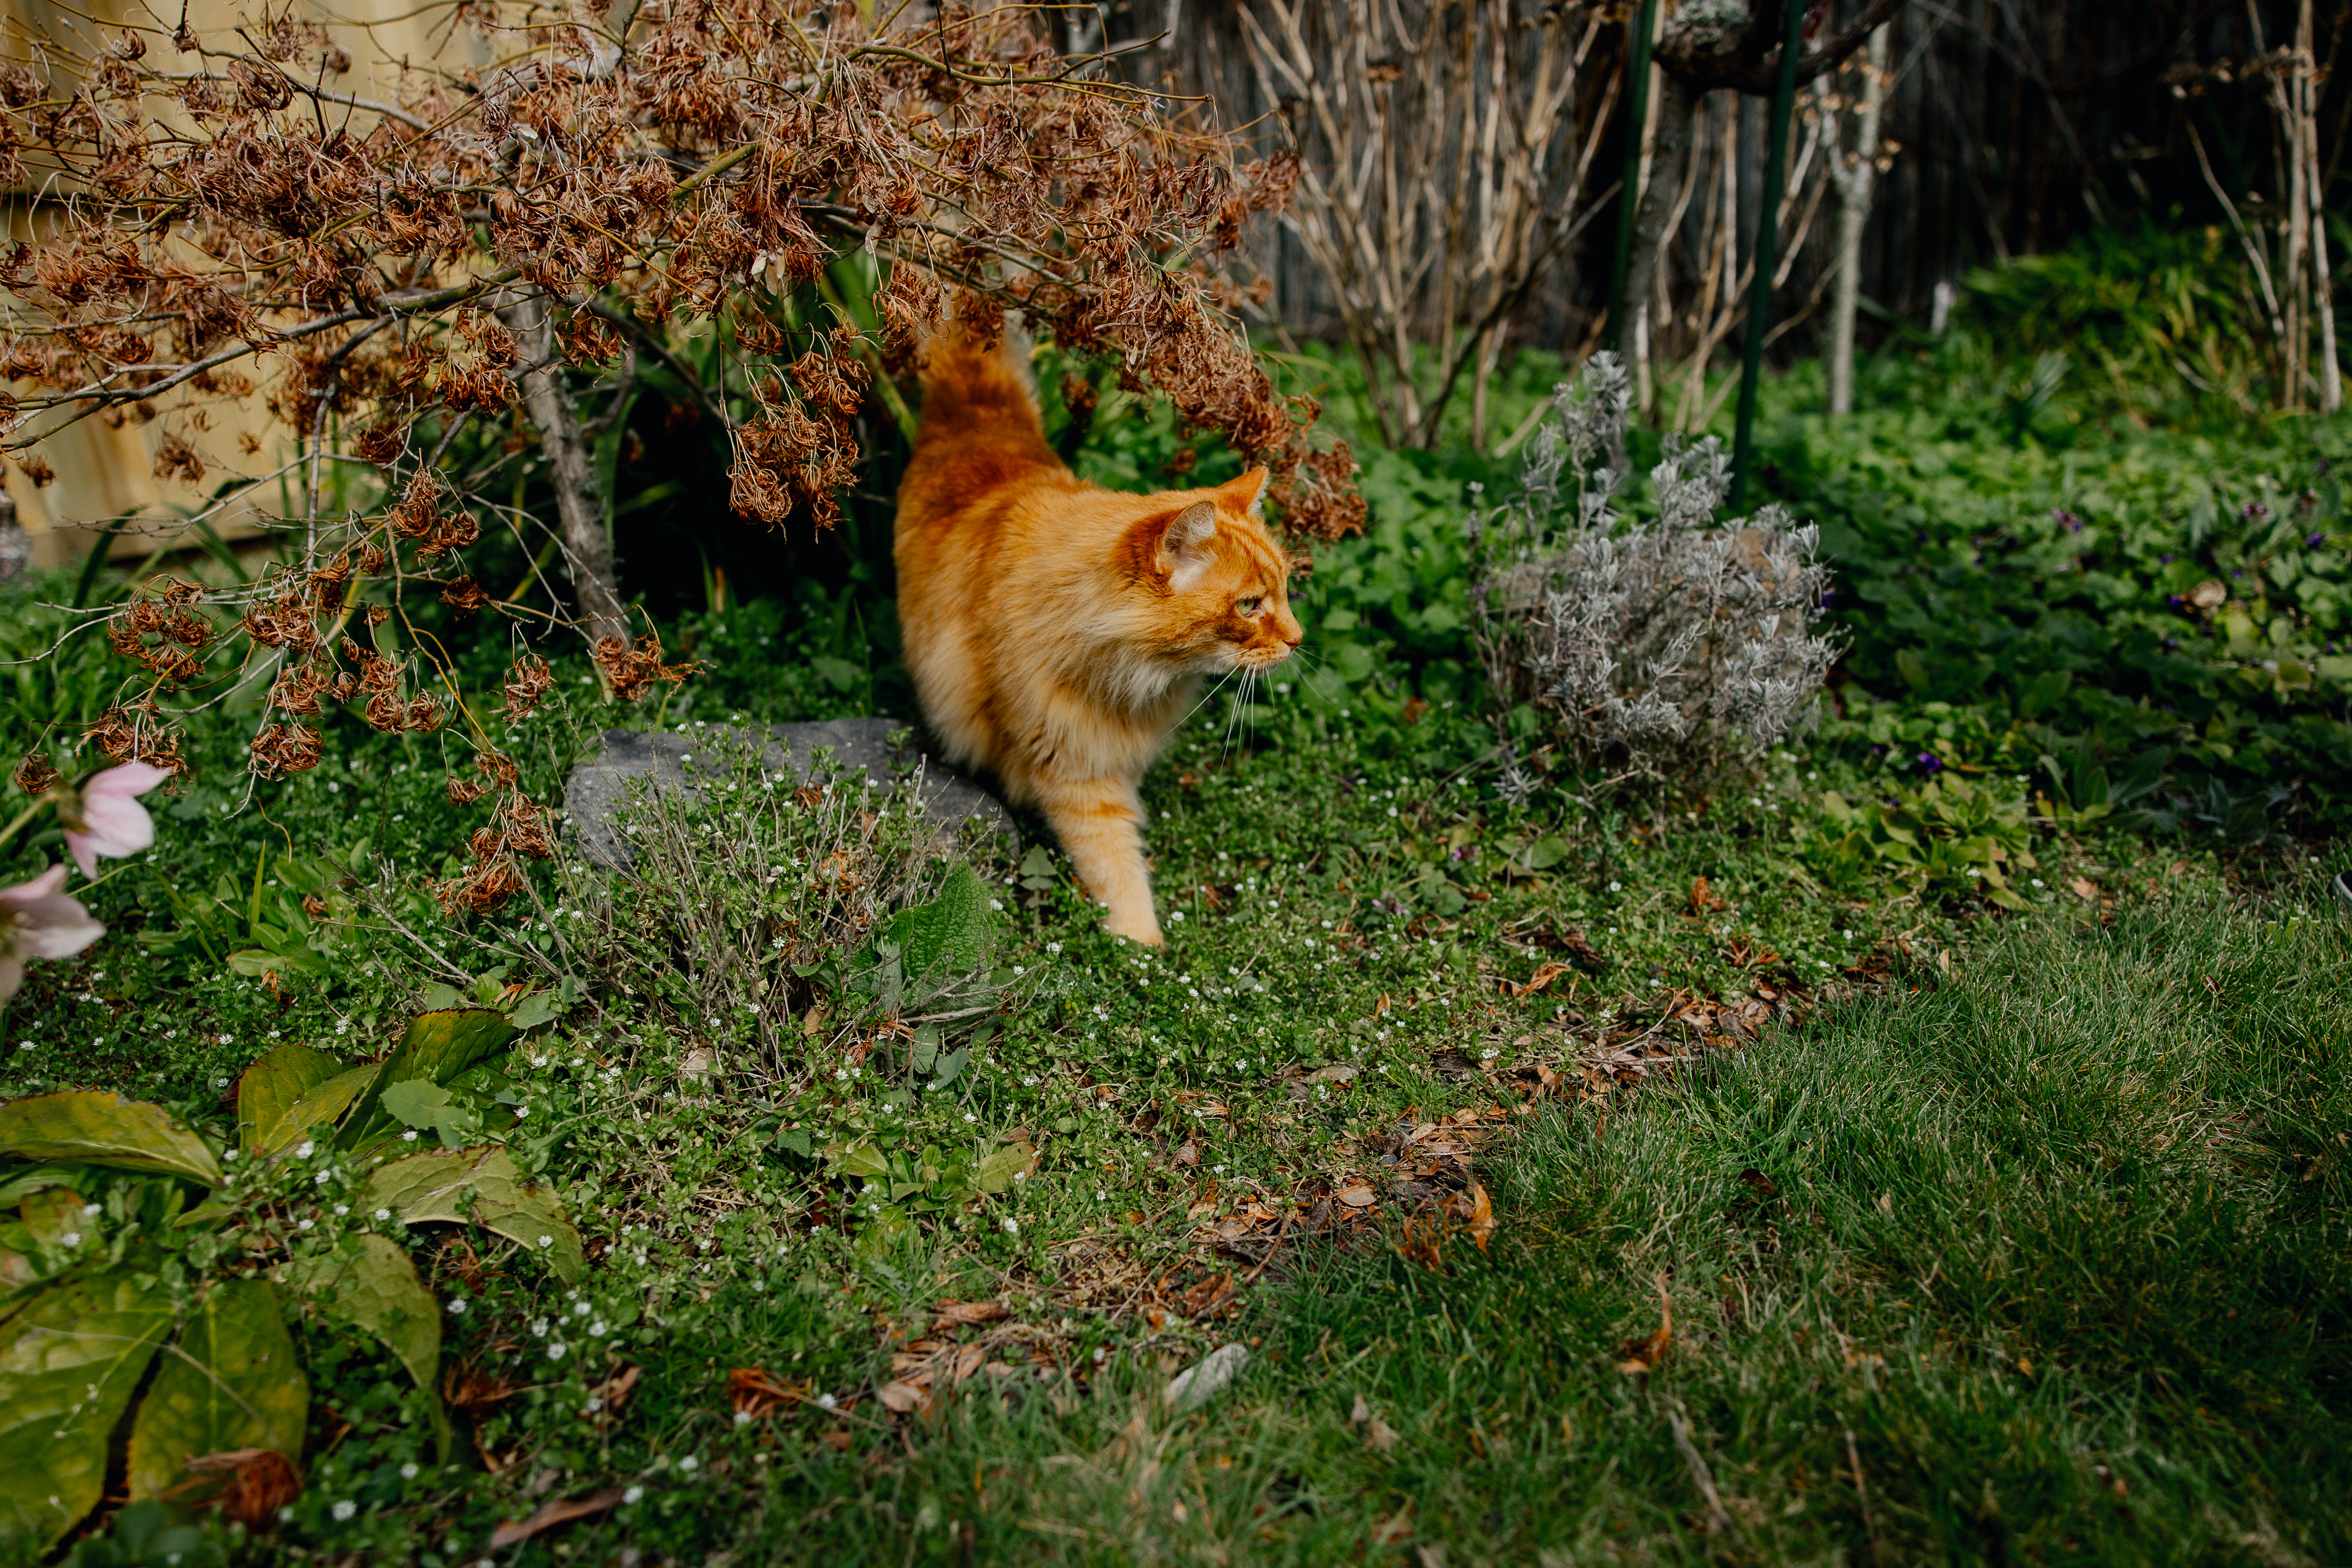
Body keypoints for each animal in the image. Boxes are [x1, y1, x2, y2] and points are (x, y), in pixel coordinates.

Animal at [894, 320, 1308, 945]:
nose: (1297, 638)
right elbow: (1117, 871)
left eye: (1283, 590)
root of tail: (977, 417)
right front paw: (1143, 952)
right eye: (1249, 605)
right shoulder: (1076, 770)